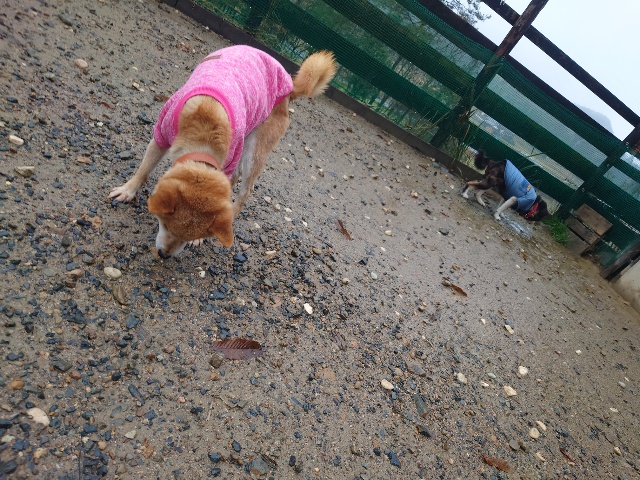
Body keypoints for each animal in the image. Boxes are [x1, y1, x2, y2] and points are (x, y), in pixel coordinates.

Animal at [109, 45, 337, 258]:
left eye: (187, 238)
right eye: (164, 224)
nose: (164, 255)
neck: (205, 131)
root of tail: (290, 88)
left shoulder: (227, 159)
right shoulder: (161, 136)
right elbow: (144, 168)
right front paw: (128, 190)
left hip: (255, 150)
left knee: (246, 189)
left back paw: (233, 213)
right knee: (236, 177)